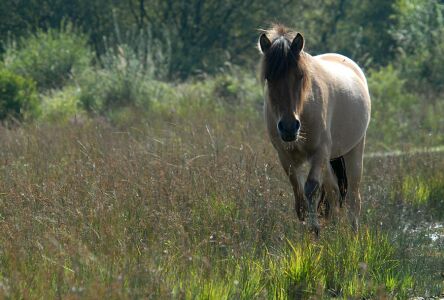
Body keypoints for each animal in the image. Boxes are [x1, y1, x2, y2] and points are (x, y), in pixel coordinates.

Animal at [256, 24, 372, 234]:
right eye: (269, 77)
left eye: (300, 76)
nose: (288, 127)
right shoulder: (285, 155)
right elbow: (299, 195)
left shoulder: (319, 152)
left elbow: (310, 189)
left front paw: (315, 229)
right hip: (328, 161)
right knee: (334, 193)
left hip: (354, 149)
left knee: (353, 198)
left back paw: (353, 235)